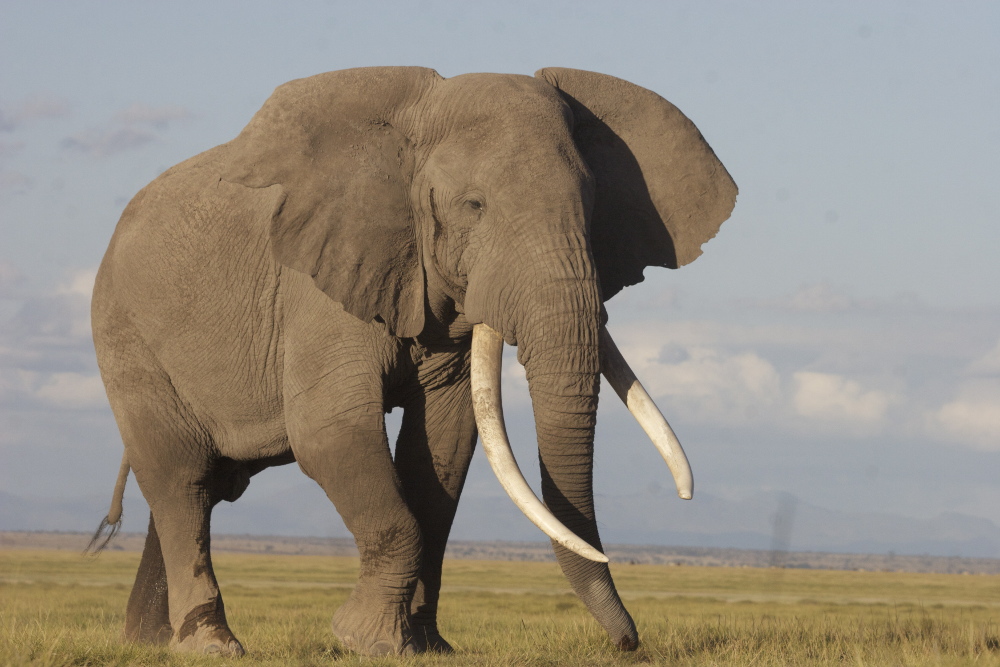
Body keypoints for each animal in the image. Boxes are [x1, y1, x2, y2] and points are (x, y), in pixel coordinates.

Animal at [89, 66, 736, 656]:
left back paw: (149, 642)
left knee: (199, 485)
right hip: (124, 333)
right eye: (472, 206)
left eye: (594, 205)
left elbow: (444, 446)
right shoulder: (319, 281)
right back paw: (210, 646)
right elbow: (329, 431)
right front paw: (363, 640)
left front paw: (425, 647)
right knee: (181, 481)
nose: (629, 643)